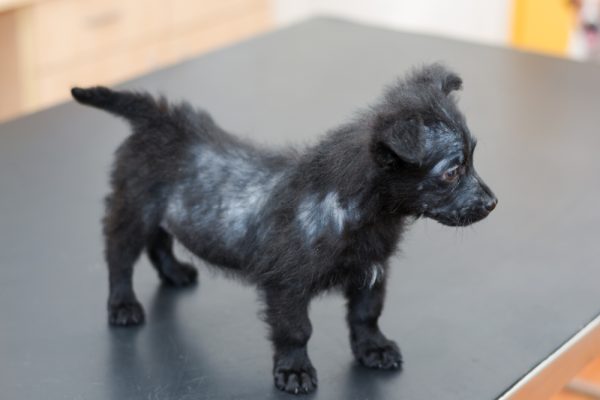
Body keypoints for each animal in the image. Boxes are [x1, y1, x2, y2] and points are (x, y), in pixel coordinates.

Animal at [71, 64, 496, 396]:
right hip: (133, 209)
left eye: (474, 159)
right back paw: (123, 305)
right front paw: (294, 370)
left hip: (162, 211)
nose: (492, 203)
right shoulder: (286, 286)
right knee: (119, 257)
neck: (354, 207)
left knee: (159, 241)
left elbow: (366, 314)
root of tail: (159, 118)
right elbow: (296, 330)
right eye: (452, 171)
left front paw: (372, 349)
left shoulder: (371, 272)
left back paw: (174, 272)